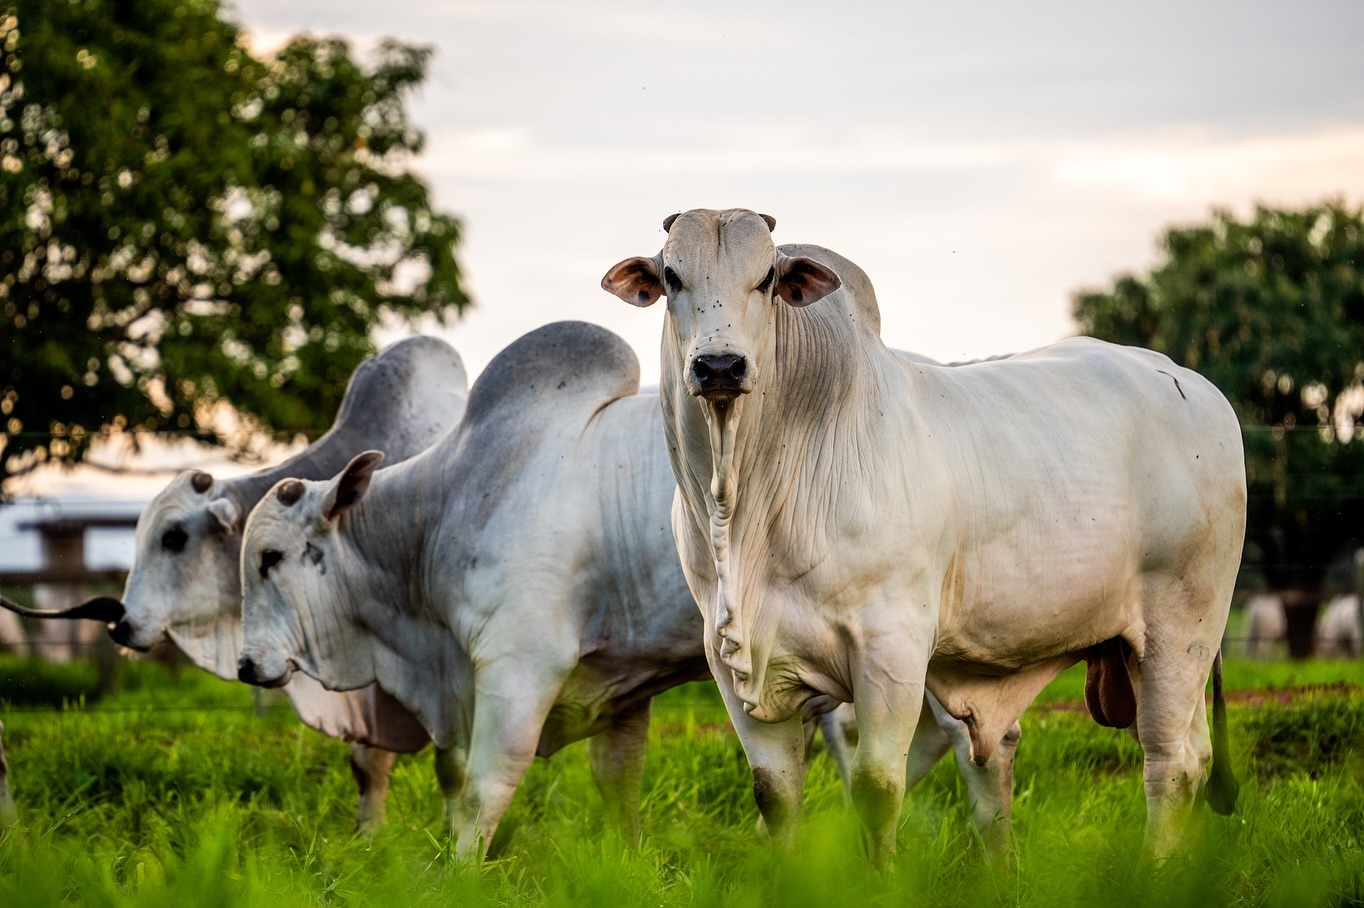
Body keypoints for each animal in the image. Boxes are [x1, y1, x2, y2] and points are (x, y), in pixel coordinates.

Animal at [237, 320, 1025, 856]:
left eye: (272, 557)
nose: (246, 665)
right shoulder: (615, 687)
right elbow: (613, 785)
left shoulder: (518, 668)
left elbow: (484, 789)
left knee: (957, 745)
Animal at [600, 208, 1249, 861]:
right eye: (672, 275)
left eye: (766, 278)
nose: (719, 366)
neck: (747, 508)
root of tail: (1192, 382)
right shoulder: (734, 662)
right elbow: (774, 795)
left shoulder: (892, 651)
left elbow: (877, 788)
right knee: (1187, 756)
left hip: (1181, 630)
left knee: (1171, 764)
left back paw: (1156, 866)